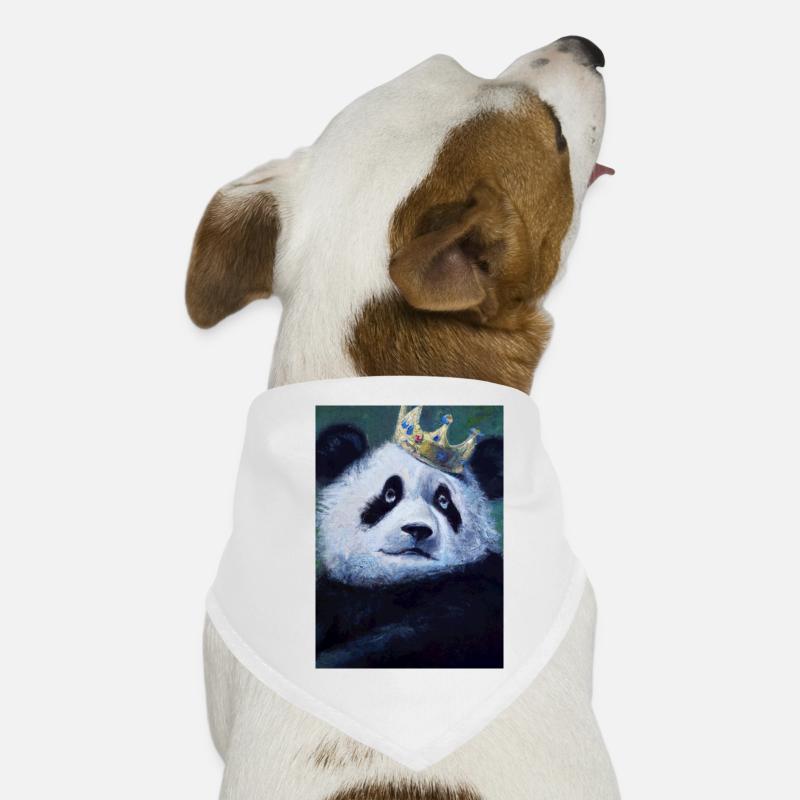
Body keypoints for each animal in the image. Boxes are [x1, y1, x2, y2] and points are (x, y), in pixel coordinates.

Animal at [315, 422, 503, 668]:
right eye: (390, 494)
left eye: (443, 501)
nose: (418, 529)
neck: (401, 582)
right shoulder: (338, 595)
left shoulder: (477, 596)